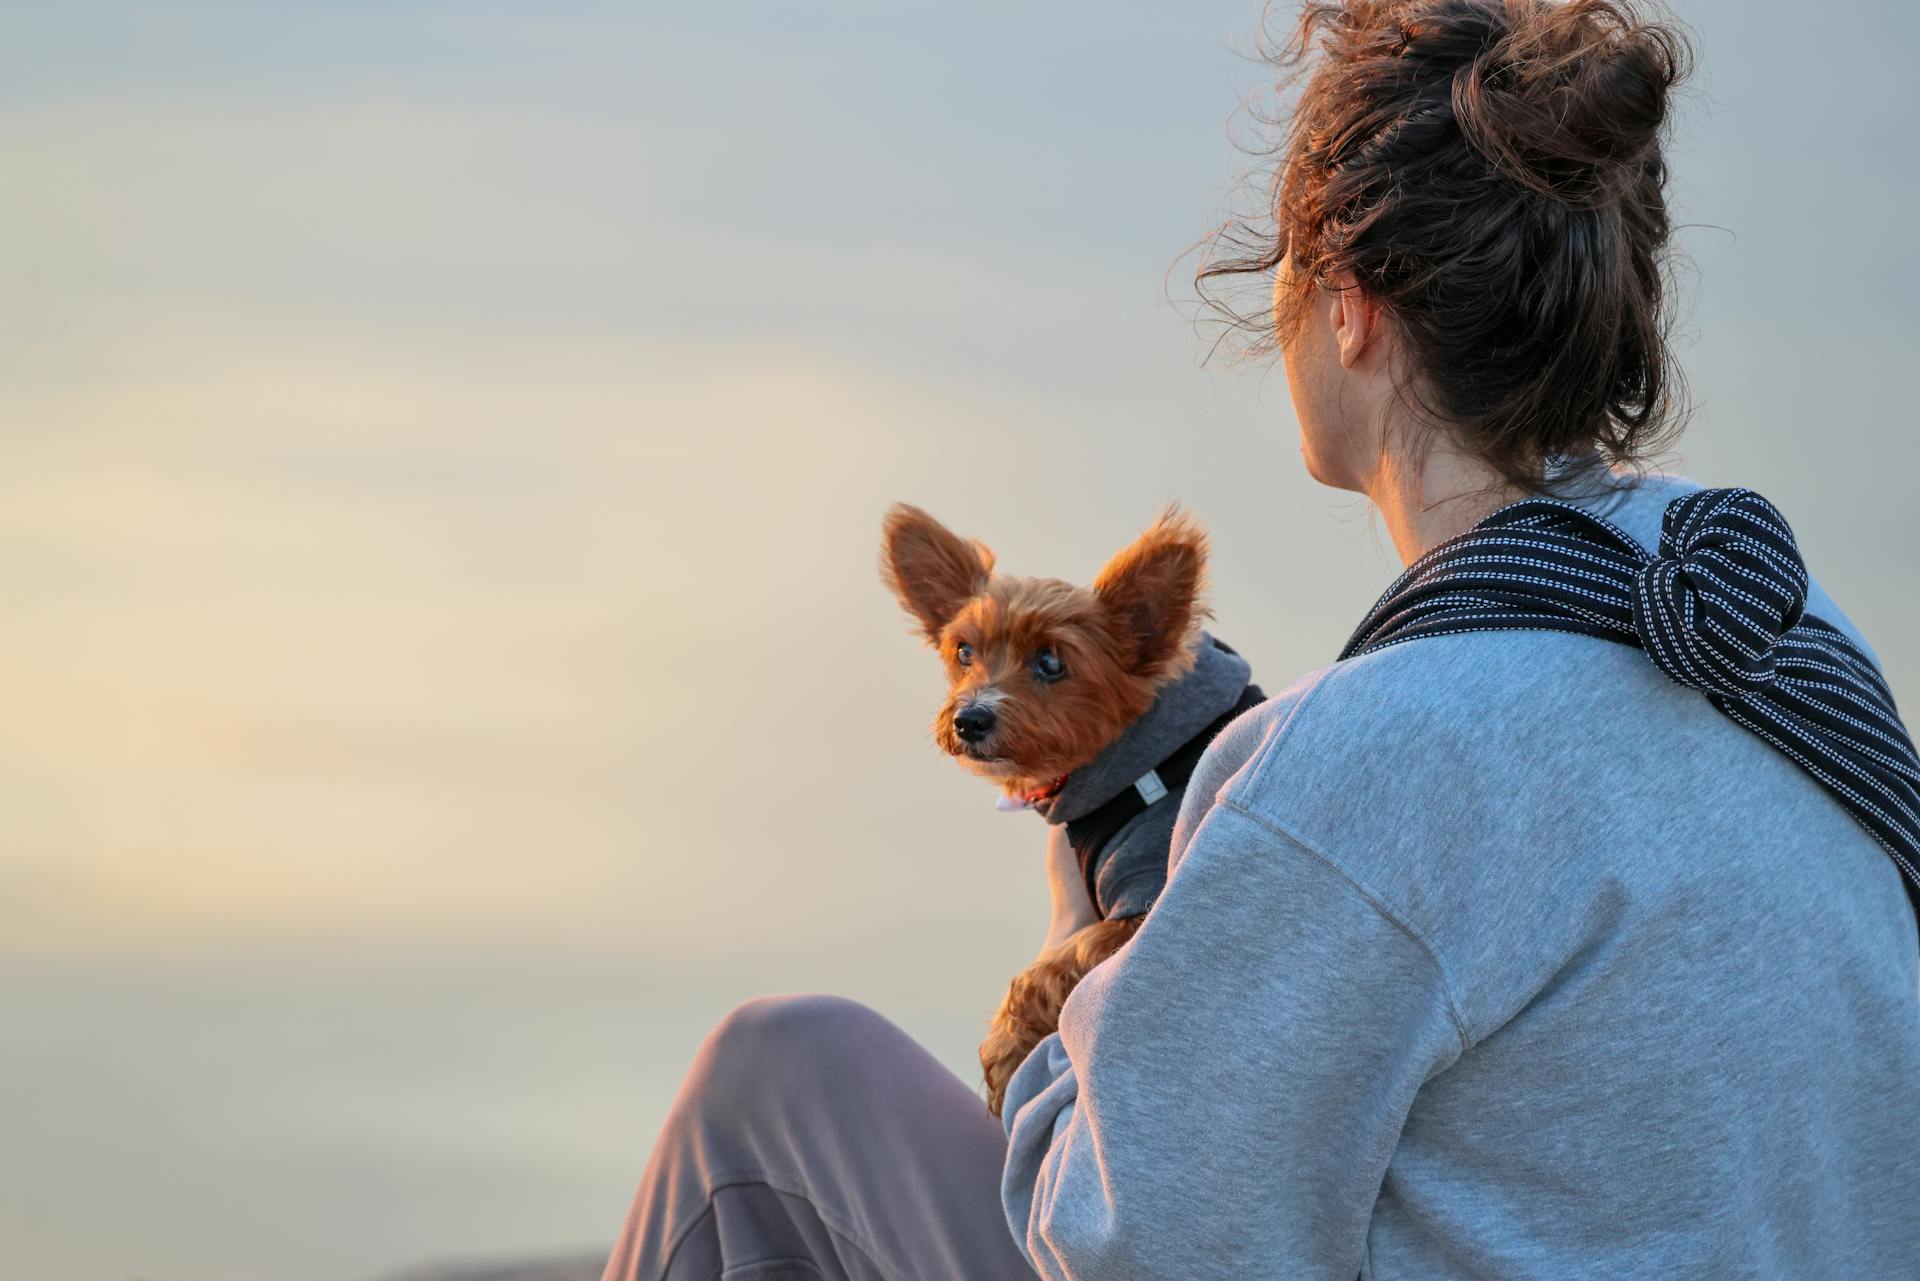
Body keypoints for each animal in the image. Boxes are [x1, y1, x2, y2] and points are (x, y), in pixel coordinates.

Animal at [879, 499, 1221, 1121]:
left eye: (1051, 663)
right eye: (964, 652)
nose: (970, 718)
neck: (1144, 763)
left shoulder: (1140, 899)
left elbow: (1054, 965)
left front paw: (1003, 1054)